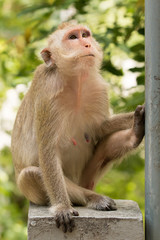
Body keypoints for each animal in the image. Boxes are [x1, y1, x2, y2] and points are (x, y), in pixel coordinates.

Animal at [10, 21, 144, 233]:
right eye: (73, 37)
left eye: (85, 35)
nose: (87, 44)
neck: (76, 81)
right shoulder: (48, 93)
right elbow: (47, 151)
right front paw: (62, 207)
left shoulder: (98, 88)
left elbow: (101, 129)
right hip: (30, 190)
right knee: (32, 173)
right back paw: (92, 198)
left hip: (87, 177)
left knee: (105, 145)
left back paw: (134, 135)